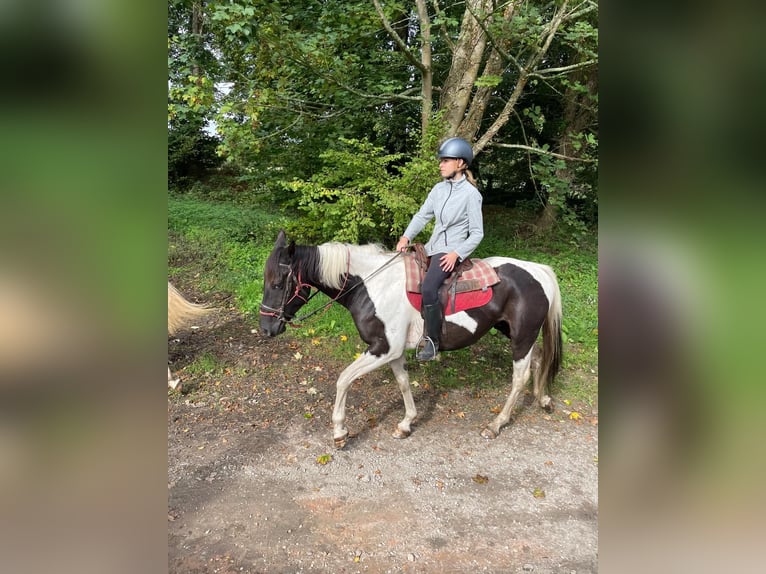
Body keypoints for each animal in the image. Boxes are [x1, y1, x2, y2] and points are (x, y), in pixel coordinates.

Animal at [259, 230, 562, 448]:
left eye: (278, 283)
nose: (265, 328)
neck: (372, 286)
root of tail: (539, 270)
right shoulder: (394, 353)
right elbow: (404, 383)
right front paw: (406, 423)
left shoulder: (382, 349)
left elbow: (344, 379)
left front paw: (339, 431)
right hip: (513, 331)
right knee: (538, 359)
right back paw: (543, 399)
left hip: (521, 336)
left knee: (520, 377)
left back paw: (496, 424)